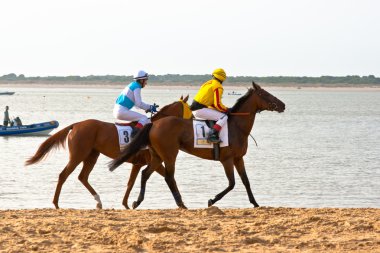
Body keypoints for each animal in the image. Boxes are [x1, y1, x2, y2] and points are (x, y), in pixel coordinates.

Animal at [25, 95, 191, 210]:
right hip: (78, 155)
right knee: (63, 175)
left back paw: (98, 201)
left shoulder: (140, 163)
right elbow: (166, 178)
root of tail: (76, 124)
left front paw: (126, 203)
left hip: (91, 156)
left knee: (82, 177)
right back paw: (56, 203)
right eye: (190, 109)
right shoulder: (151, 162)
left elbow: (130, 183)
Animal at [110, 82, 284, 209]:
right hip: (169, 155)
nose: (283, 105)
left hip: (157, 156)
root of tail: (154, 124)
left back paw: (138, 201)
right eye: (265, 94)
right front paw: (212, 200)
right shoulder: (227, 159)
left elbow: (246, 181)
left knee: (145, 174)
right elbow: (232, 183)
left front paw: (255, 203)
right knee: (168, 177)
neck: (237, 126)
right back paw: (180, 203)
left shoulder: (238, 158)